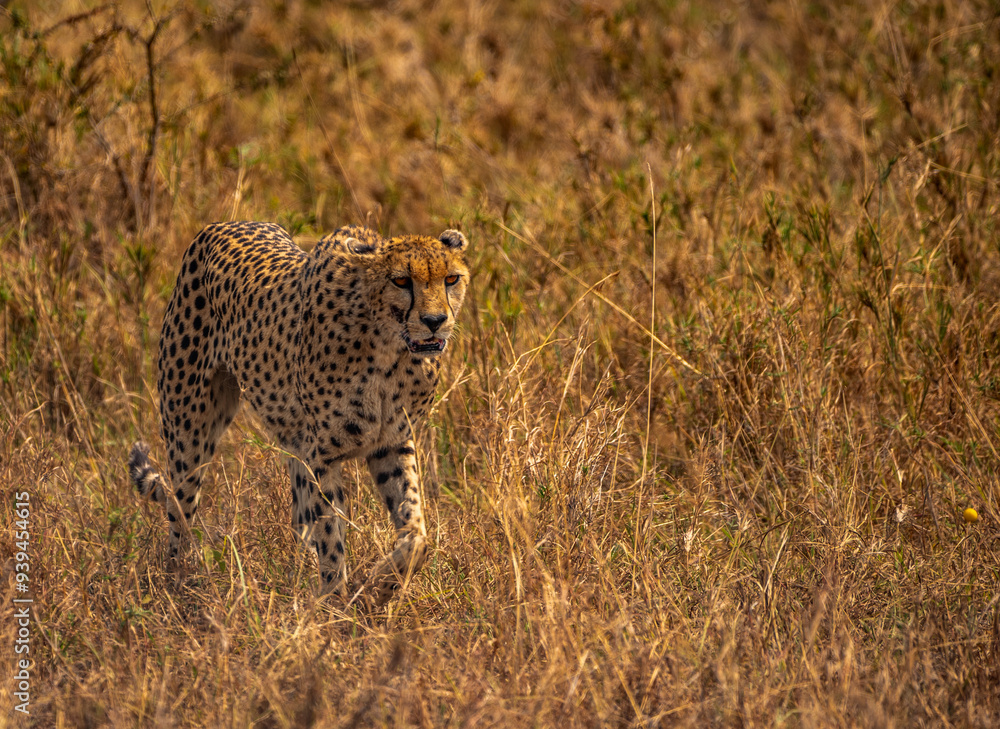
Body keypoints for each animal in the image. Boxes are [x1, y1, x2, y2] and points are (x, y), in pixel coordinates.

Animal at [128, 221, 470, 607]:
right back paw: (177, 585)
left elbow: (416, 533)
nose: (435, 321)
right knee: (179, 511)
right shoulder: (322, 454)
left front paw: (381, 587)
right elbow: (331, 531)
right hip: (189, 430)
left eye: (451, 279)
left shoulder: (391, 443)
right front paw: (336, 600)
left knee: (298, 517)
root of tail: (221, 225)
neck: (388, 349)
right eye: (400, 281)